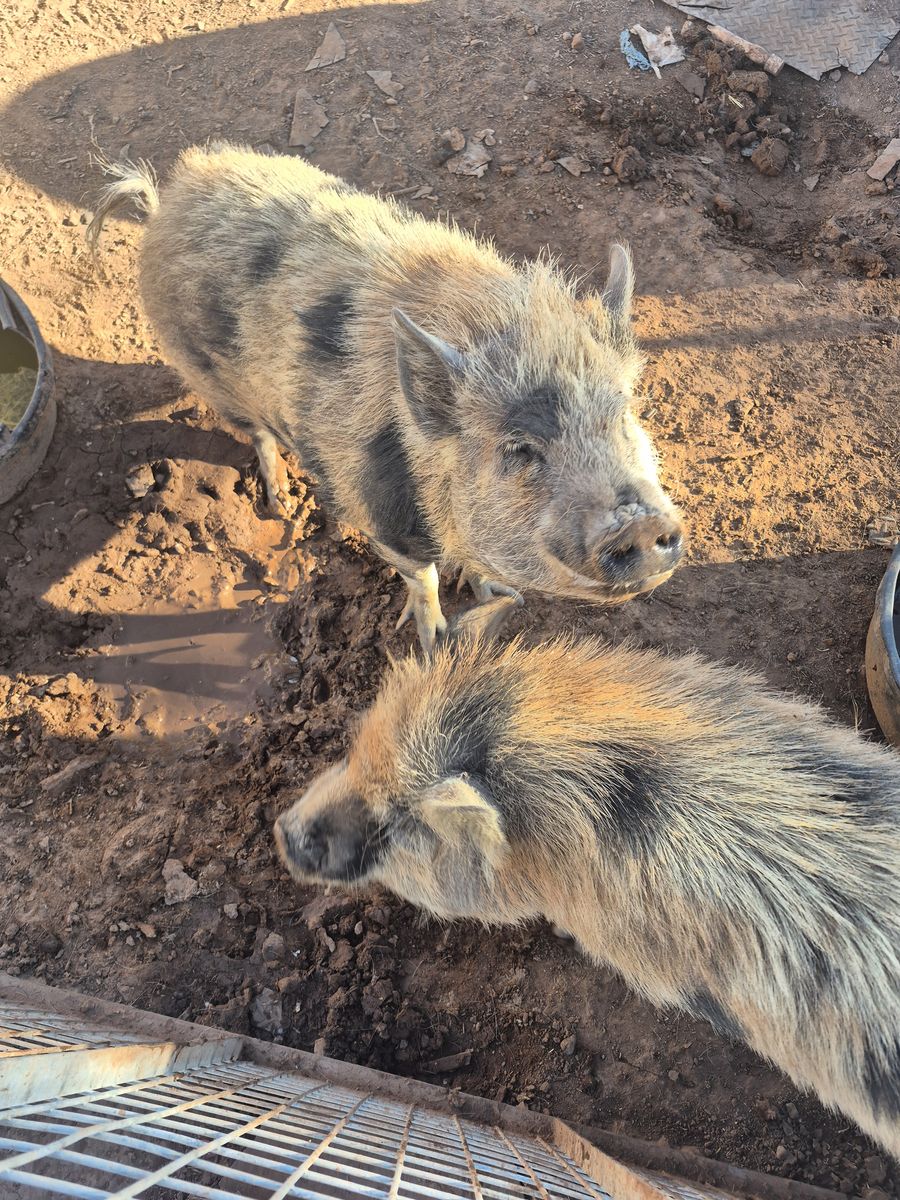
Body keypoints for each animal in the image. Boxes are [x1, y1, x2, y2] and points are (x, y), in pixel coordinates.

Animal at [87, 145, 684, 650]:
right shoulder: (378, 510)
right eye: (519, 449)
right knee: (257, 434)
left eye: (622, 414)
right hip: (203, 372)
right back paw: (279, 502)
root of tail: (165, 201)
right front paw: (431, 640)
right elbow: (422, 577)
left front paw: (495, 595)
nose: (640, 522)